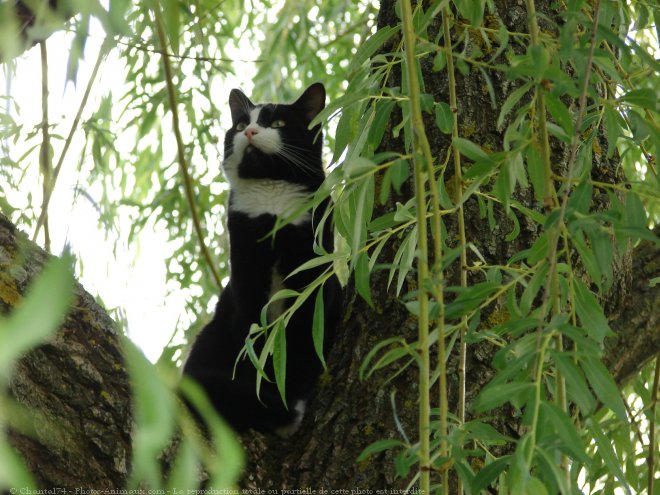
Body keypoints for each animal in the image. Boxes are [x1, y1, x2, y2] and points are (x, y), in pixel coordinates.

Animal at [183, 83, 342, 436]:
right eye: (242, 124)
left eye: (278, 123)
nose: (251, 131)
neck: (273, 205)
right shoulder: (245, 270)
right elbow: (251, 338)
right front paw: (262, 397)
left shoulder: (310, 271)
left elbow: (301, 337)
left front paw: (288, 399)